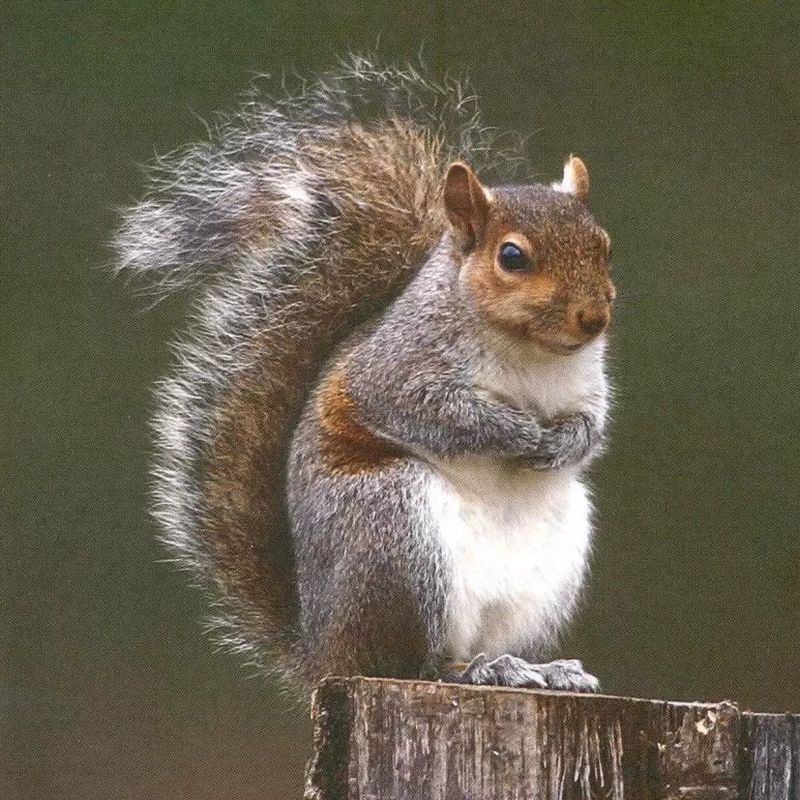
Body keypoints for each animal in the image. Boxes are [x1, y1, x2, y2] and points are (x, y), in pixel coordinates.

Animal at [114, 57, 615, 694]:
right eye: (512, 257)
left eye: (604, 245)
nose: (595, 317)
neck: (534, 353)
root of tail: (325, 651)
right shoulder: (396, 369)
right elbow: (429, 411)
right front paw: (517, 433)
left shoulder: (589, 382)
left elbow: (592, 423)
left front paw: (569, 440)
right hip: (393, 535)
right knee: (411, 662)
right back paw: (477, 668)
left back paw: (536, 667)